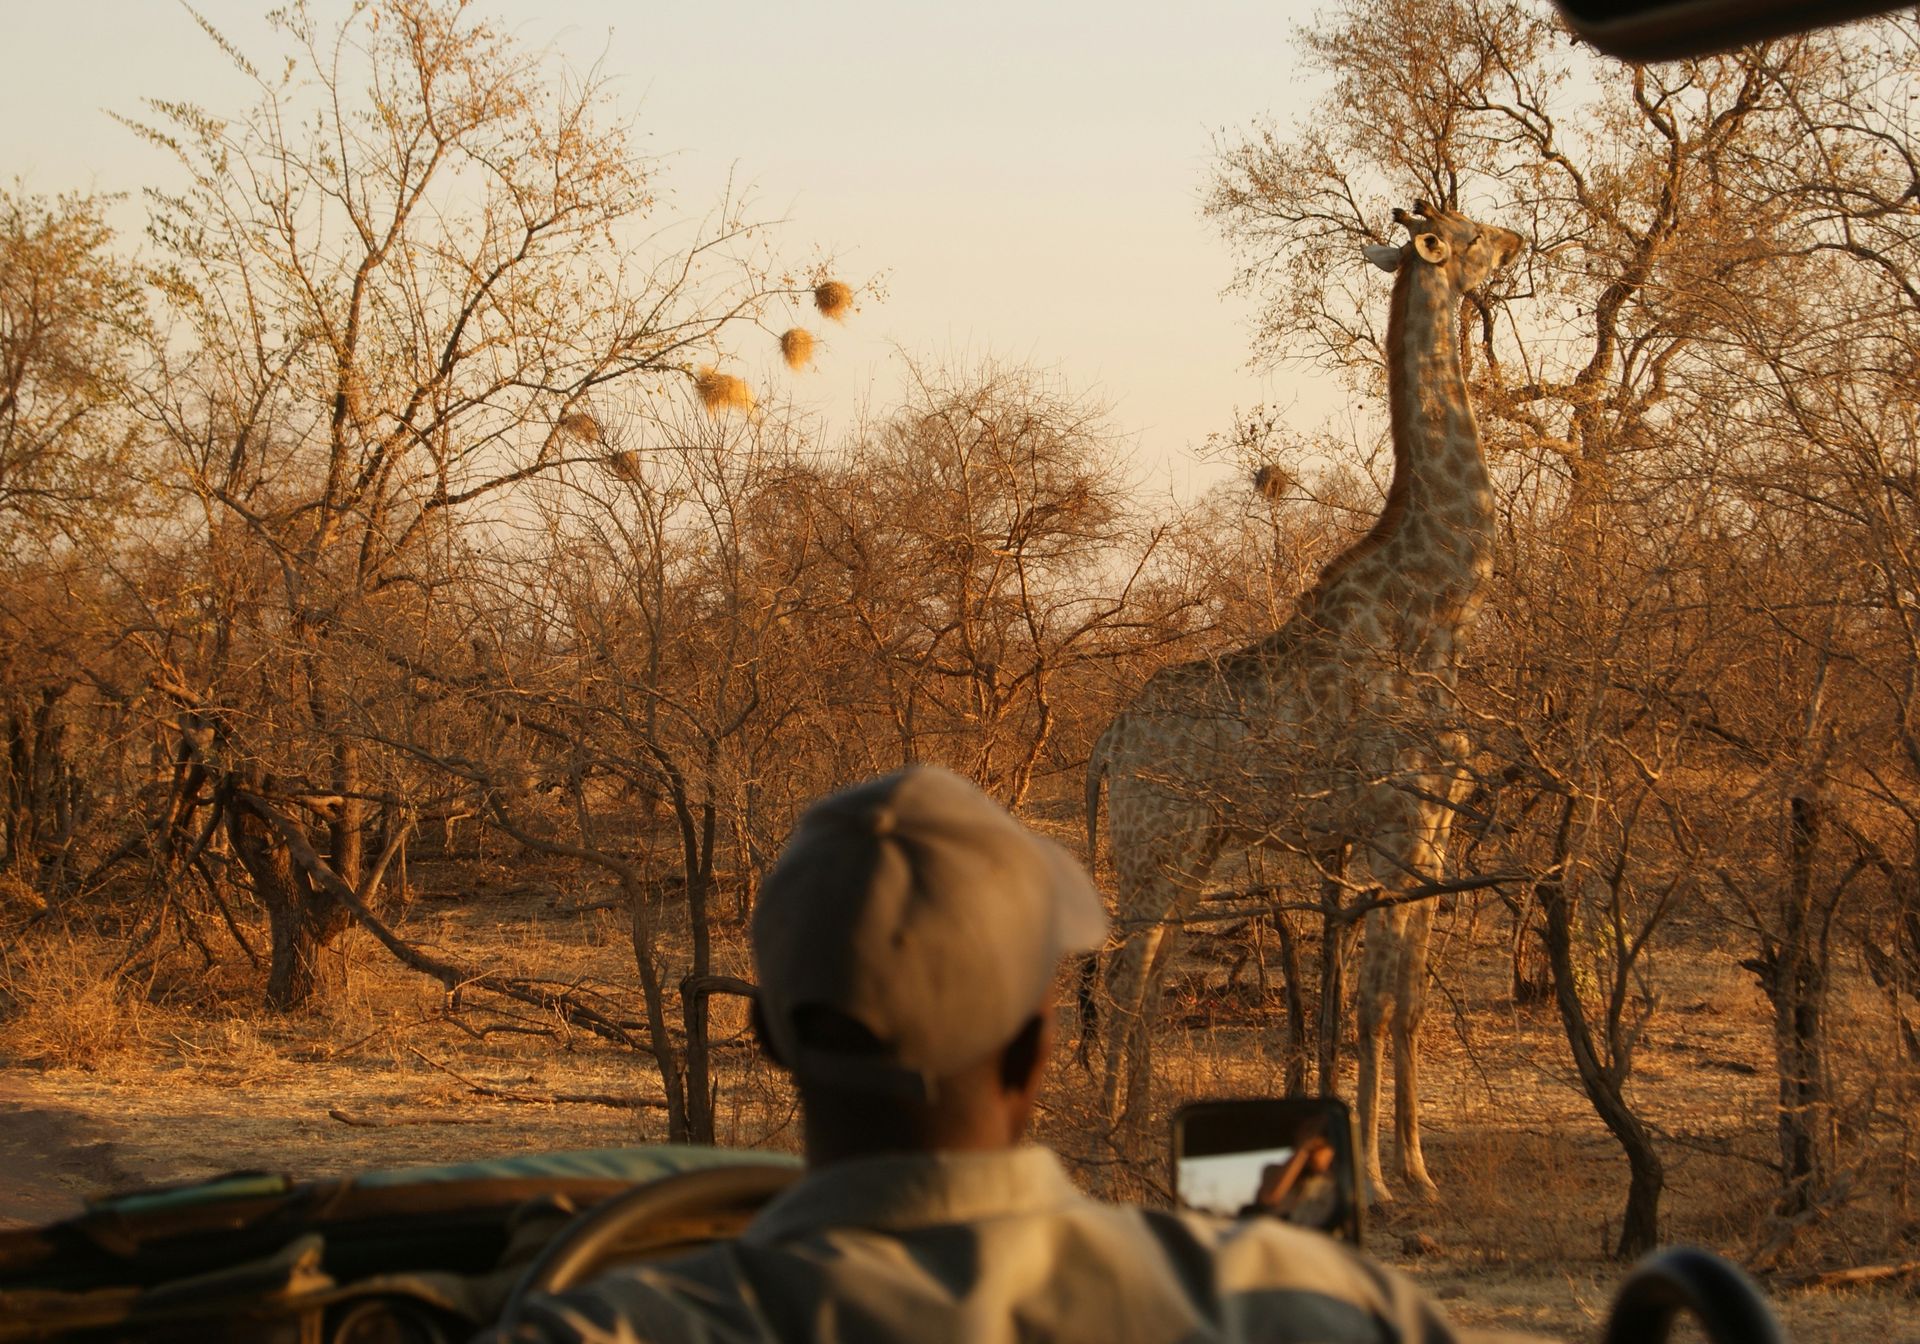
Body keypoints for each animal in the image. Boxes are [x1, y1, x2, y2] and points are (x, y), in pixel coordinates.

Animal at [1086, 201, 1522, 1201]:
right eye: (1470, 231)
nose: (1520, 241)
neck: (1438, 610)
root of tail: (1109, 738)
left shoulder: (1433, 831)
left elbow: (1405, 1003)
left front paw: (1417, 1168)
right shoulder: (1391, 827)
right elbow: (1369, 1005)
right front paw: (1375, 1177)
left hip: (1197, 848)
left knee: (1151, 975)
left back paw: (1142, 1131)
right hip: (1155, 841)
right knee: (1126, 977)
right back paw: (1114, 1140)